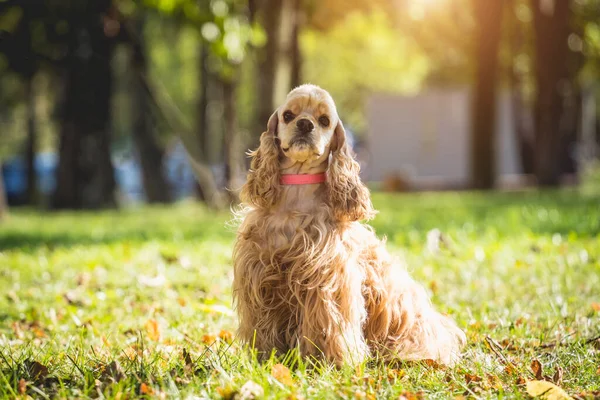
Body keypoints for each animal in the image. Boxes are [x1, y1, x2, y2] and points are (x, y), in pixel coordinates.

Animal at [232, 84, 466, 366]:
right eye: (288, 115)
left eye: (324, 120)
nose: (305, 124)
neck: (297, 192)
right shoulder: (260, 274)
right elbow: (263, 325)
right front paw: (266, 356)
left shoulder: (328, 278)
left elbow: (328, 323)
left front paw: (328, 361)